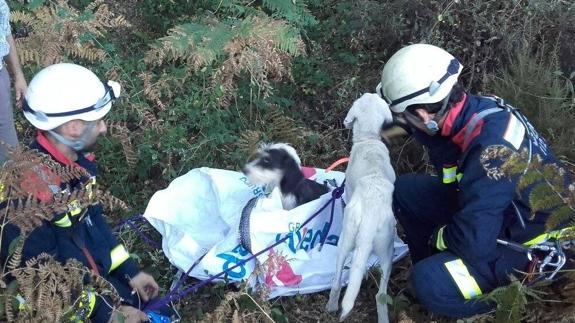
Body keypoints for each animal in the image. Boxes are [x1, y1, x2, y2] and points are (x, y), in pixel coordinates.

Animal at [328, 93, 396, 323]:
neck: (369, 140)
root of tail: (371, 216)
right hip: (387, 249)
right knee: (380, 295)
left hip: (346, 239)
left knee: (337, 281)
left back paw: (331, 307)